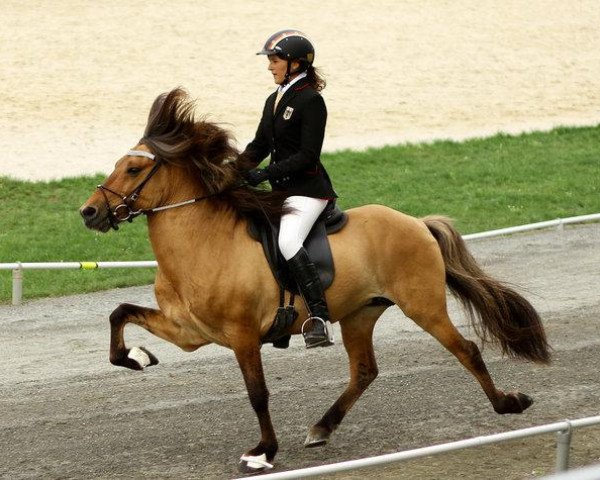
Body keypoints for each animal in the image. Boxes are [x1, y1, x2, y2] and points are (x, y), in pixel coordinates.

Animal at [78, 88, 548, 474]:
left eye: (133, 169)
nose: (89, 212)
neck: (202, 243)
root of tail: (416, 222)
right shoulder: (188, 331)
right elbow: (120, 313)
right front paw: (137, 357)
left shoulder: (243, 335)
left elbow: (258, 393)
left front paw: (263, 452)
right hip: (361, 313)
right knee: (365, 370)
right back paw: (321, 428)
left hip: (423, 305)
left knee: (466, 349)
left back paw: (508, 403)